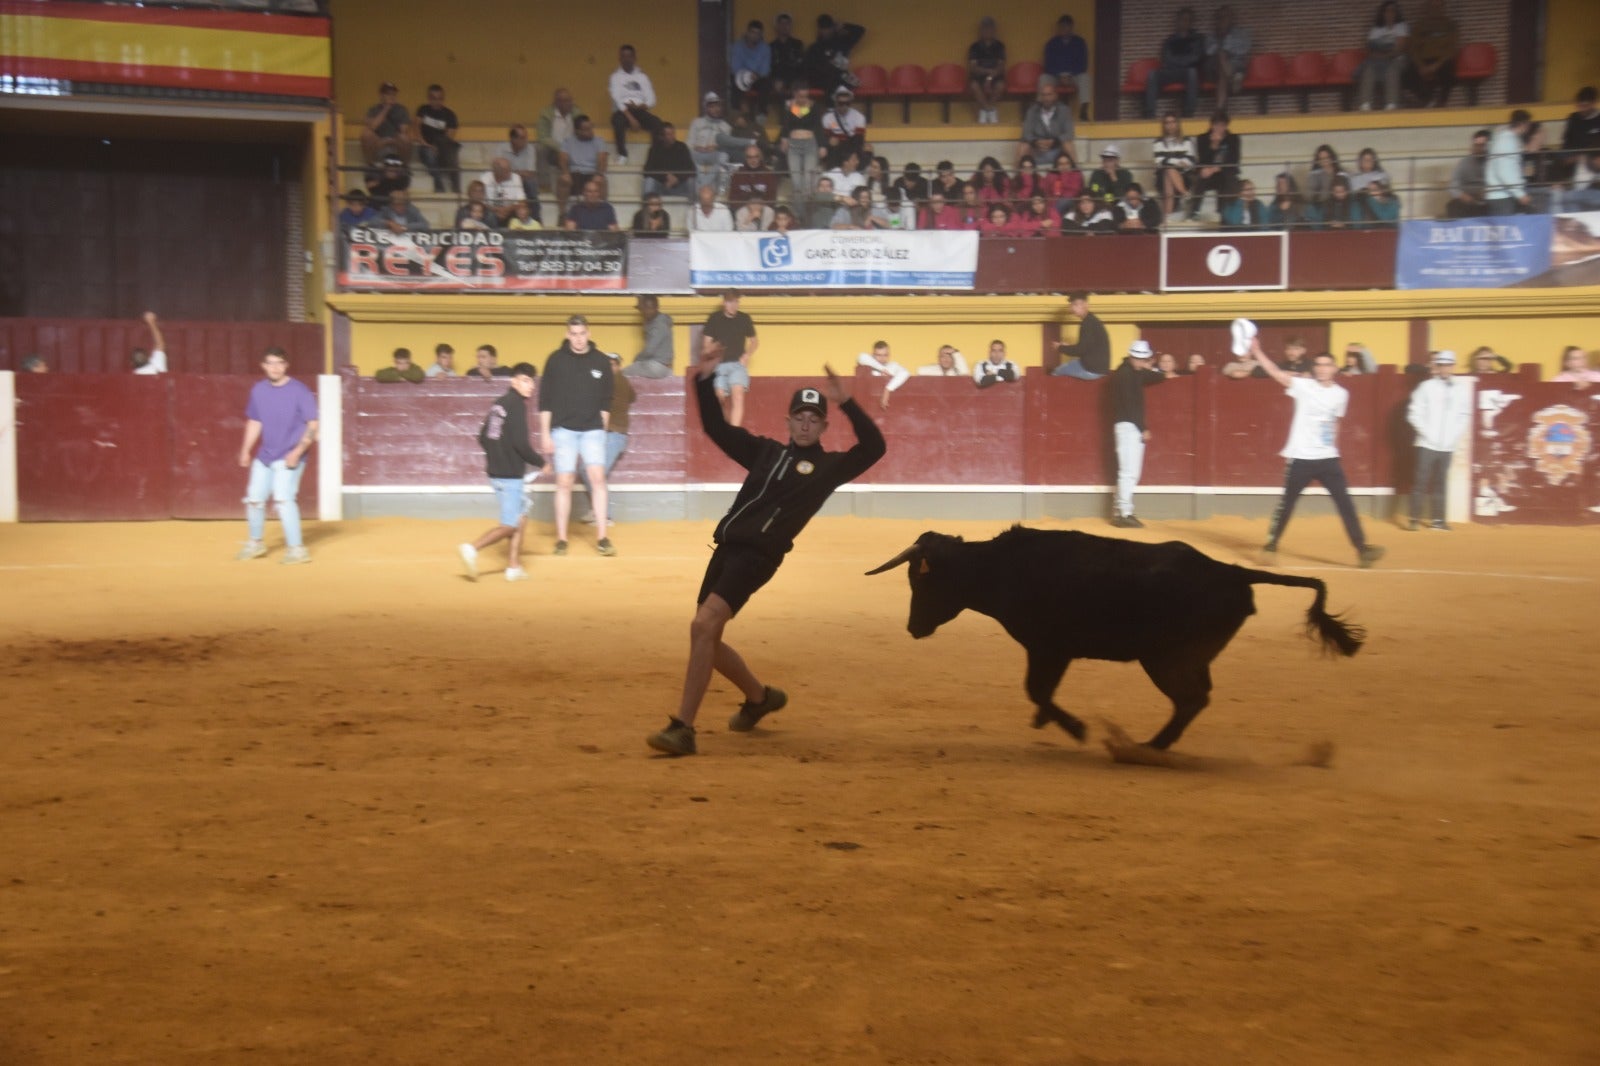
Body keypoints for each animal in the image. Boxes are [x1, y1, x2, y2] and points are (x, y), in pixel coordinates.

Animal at [870, 524, 1369, 745]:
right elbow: (1039, 692)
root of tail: (1230, 571)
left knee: (1192, 699)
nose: (914, 627)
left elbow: (1036, 689)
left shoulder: (1049, 647)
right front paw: (1049, 722)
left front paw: (1074, 728)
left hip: (1167, 658)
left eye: (921, 581)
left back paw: (1151, 747)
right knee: (1196, 697)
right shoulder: (1050, 650)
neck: (1000, 568)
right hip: (1183, 657)